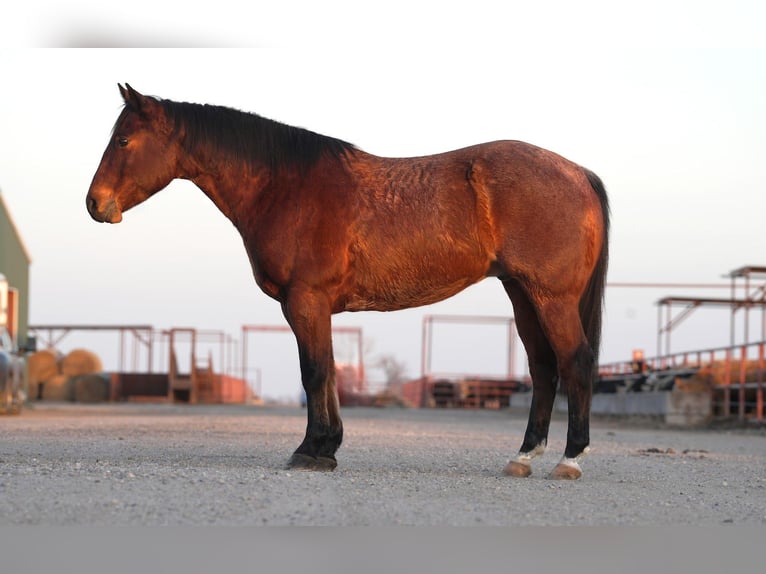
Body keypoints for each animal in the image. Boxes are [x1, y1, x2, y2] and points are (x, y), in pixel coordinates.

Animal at [85, 84, 612, 482]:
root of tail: (578, 173)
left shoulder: (304, 301)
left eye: (124, 141)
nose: (95, 204)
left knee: (575, 361)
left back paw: (570, 459)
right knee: (543, 368)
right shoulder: (316, 307)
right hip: (523, 294)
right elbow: (332, 372)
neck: (286, 187)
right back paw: (523, 457)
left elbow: (315, 372)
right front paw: (327, 447)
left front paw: (311, 450)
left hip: (551, 298)